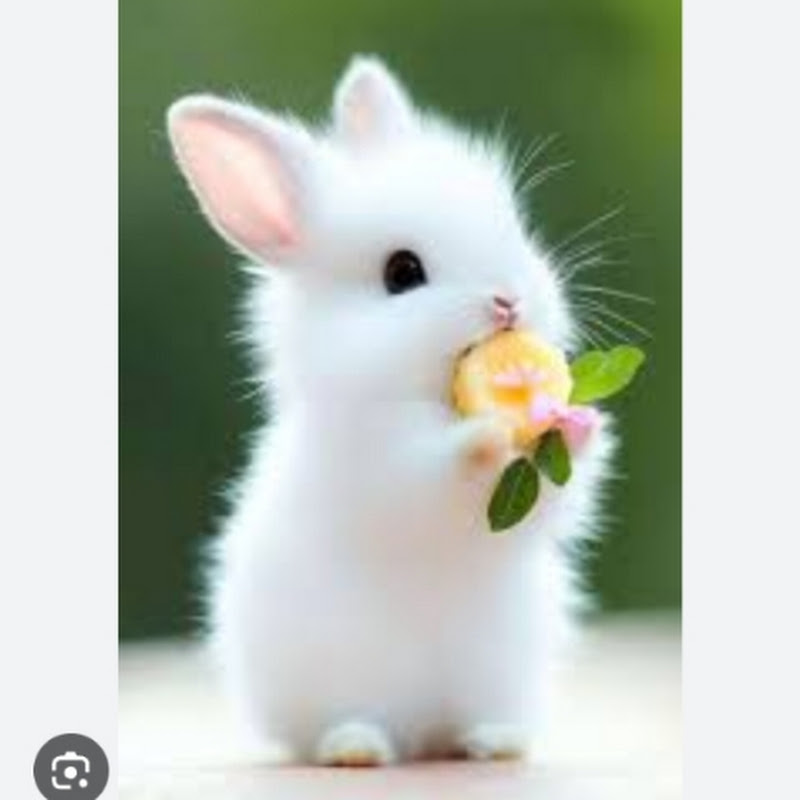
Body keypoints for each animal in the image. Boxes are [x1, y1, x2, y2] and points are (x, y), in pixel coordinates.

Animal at [166, 54, 614, 766]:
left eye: (514, 227)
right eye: (402, 273)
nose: (509, 301)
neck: (427, 399)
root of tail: (422, 732)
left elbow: (559, 493)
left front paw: (578, 423)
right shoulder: (380, 469)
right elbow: (429, 479)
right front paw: (485, 436)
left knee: (468, 728)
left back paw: (497, 742)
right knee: (345, 729)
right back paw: (356, 748)